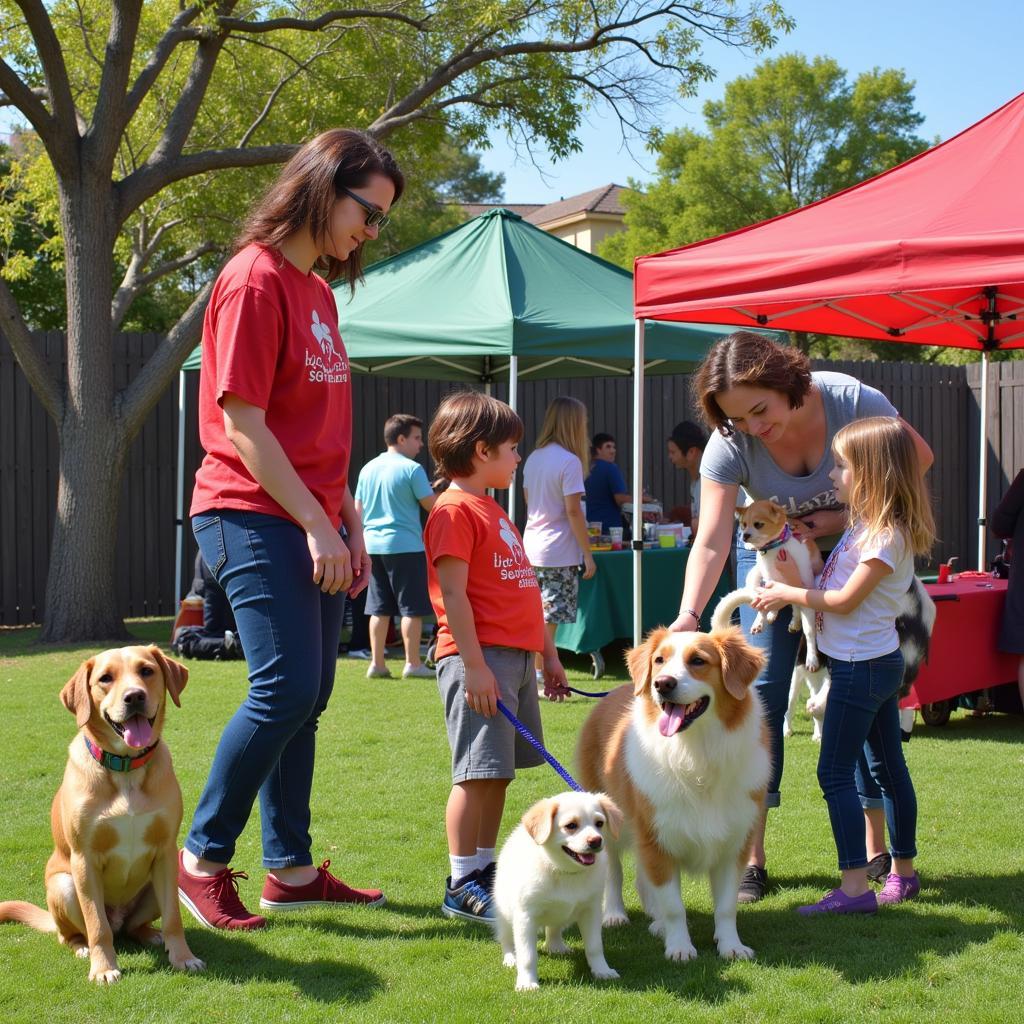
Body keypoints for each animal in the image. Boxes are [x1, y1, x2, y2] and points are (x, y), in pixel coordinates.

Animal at [0, 647, 205, 983]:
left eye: (146, 670)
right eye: (105, 678)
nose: (134, 697)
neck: (125, 768)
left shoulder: (165, 851)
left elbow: (174, 918)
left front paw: (183, 957)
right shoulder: (84, 859)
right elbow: (97, 925)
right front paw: (104, 968)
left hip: (160, 884)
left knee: (134, 926)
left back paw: (151, 934)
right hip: (65, 886)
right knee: (75, 933)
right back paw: (82, 947)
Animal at [491, 790, 618, 991]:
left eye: (599, 823)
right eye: (571, 826)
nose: (596, 841)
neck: (564, 871)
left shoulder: (591, 911)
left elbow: (595, 946)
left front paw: (602, 971)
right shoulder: (525, 917)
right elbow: (527, 955)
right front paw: (527, 982)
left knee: (554, 927)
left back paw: (556, 947)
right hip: (504, 913)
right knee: (506, 938)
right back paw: (510, 958)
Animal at [577, 626, 770, 962]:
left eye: (698, 660)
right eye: (659, 660)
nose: (662, 683)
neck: (695, 751)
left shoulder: (734, 844)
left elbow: (726, 907)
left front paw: (731, 945)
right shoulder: (657, 837)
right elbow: (673, 906)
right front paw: (679, 947)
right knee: (614, 871)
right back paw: (615, 914)